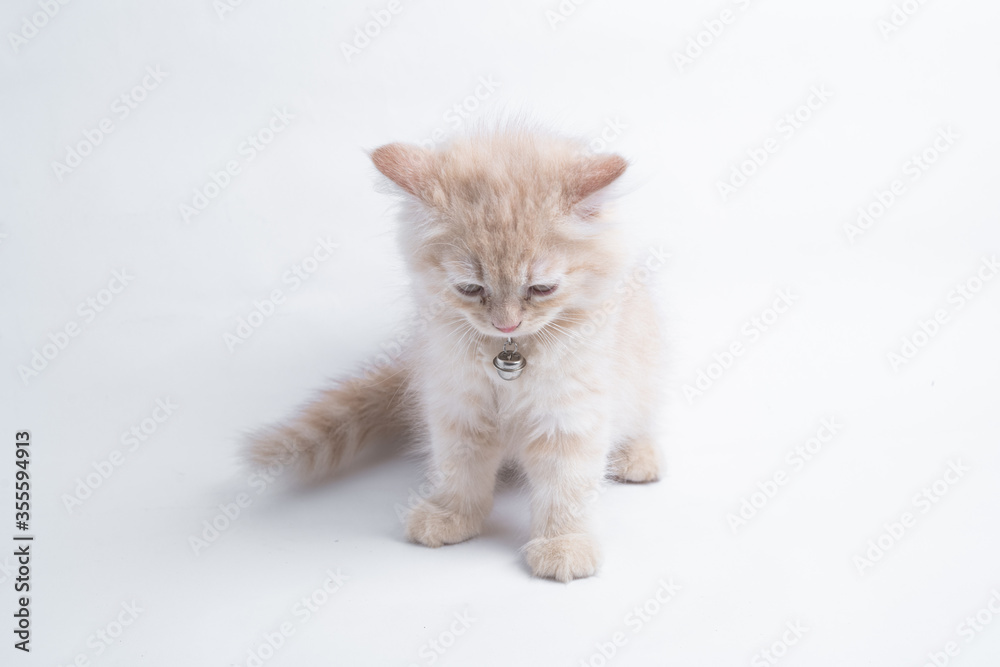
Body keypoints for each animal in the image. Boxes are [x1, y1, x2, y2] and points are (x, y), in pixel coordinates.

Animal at [245, 126, 660, 584]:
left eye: (541, 289)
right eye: (470, 289)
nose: (506, 324)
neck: (509, 356)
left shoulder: (571, 411)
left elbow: (566, 485)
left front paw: (564, 544)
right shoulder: (455, 404)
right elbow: (459, 470)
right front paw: (451, 516)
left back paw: (637, 457)